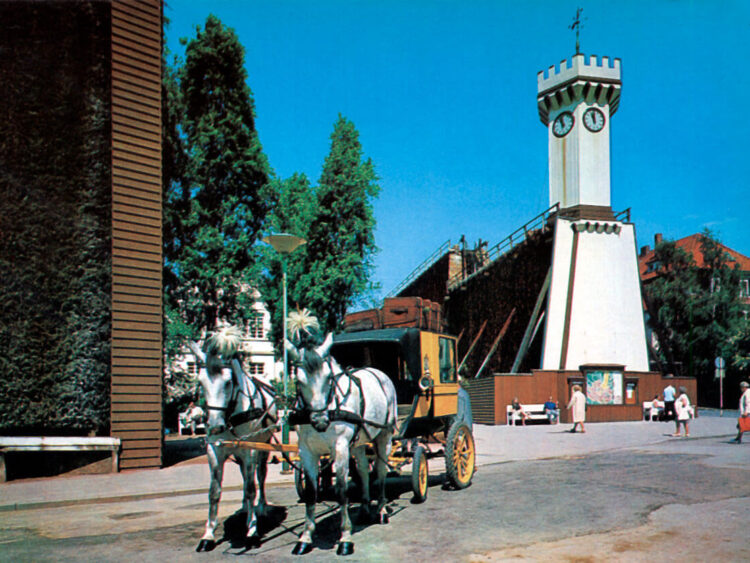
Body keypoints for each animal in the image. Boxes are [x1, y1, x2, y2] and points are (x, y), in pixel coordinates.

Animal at [188, 328, 280, 552]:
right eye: (200, 382)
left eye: (229, 382)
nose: (215, 425)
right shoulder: (215, 450)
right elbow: (214, 491)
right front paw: (208, 535)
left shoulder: (251, 449)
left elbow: (251, 488)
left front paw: (252, 531)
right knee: (245, 477)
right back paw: (246, 508)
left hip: (262, 447)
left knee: (259, 476)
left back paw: (261, 506)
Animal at [284, 332, 400, 556]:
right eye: (299, 380)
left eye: (329, 378)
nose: (320, 421)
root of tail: (377, 372)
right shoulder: (307, 451)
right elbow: (311, 493)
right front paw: (305, 538)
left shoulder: (340, 448)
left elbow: (341, 491)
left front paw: (345, 537)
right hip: (359, 442)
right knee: (363, 471)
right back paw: (364, 509)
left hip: (385, 435)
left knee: (381, 471)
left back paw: (381, 510)